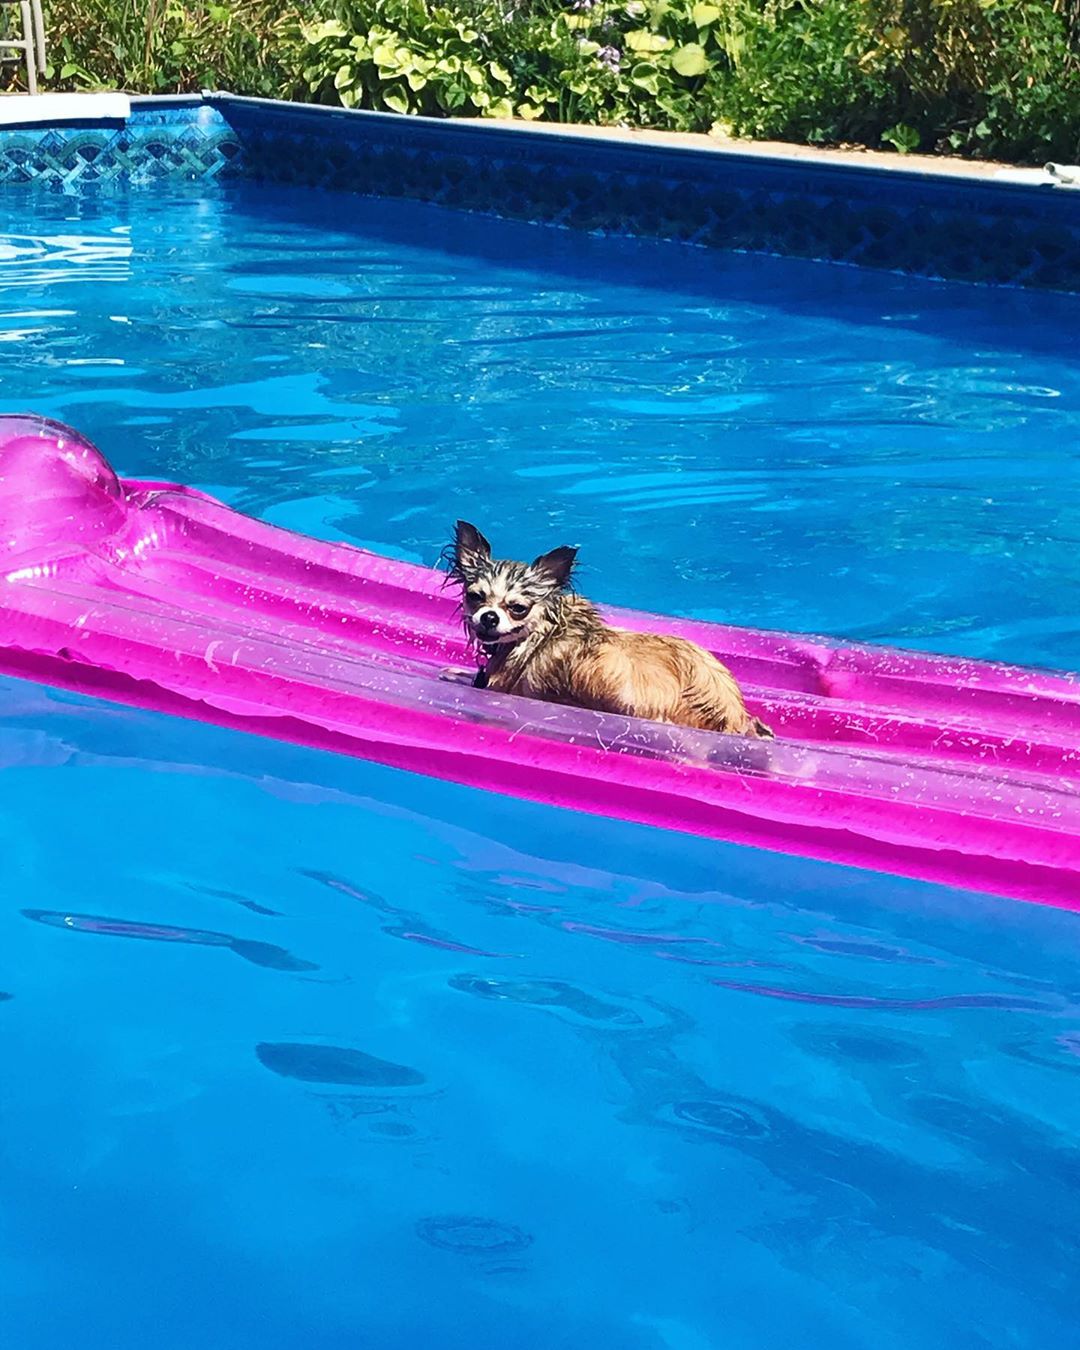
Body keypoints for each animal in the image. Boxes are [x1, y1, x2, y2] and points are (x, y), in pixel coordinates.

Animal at [442, 523, 772, 739]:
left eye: (518, 608)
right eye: (475, 596)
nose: (489, 617)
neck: (542, 629)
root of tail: (731, 718)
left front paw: (455, 674)